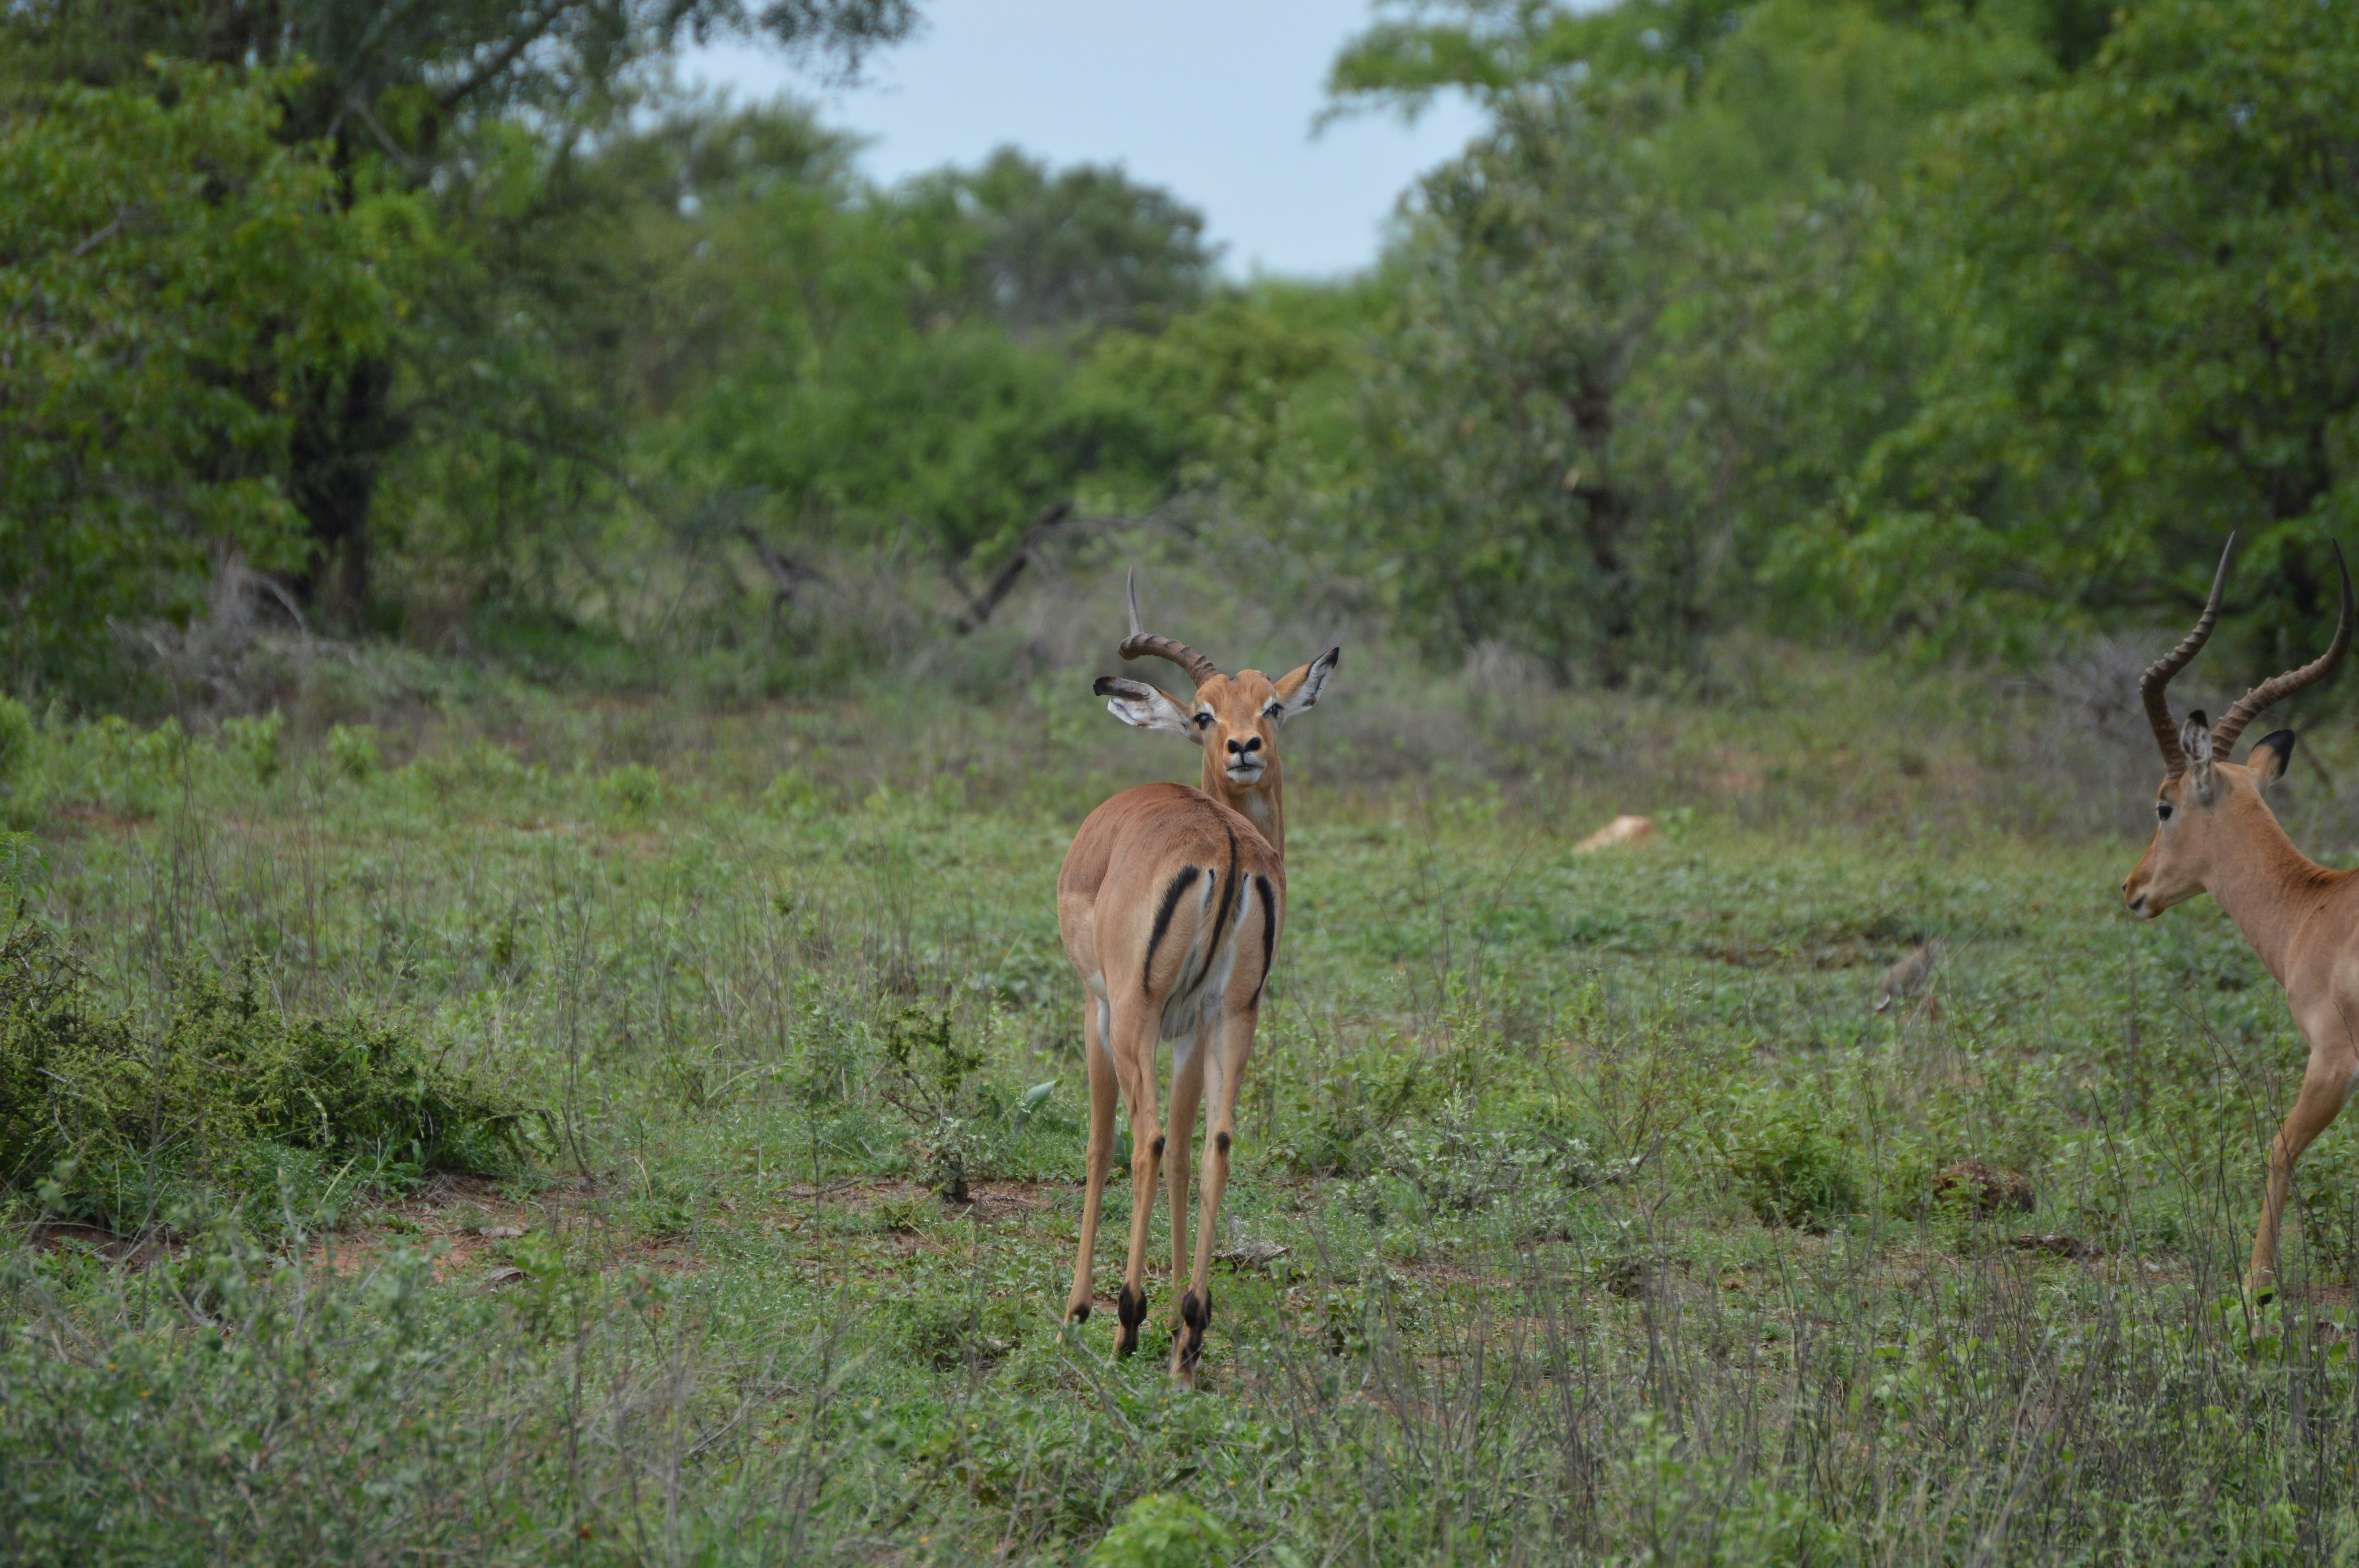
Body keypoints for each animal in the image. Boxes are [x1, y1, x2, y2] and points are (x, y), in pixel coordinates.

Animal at [1056, 575, 1338, 1381]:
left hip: (1135, 1015)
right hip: (1235, 1018)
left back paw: (1126, 1321)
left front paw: (1077, 1311)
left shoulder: (1099, 1011)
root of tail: (1224, 848)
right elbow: (1188, 1149)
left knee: (1144, 1138)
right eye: (1207, 712)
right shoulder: (1194, 1027)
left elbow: (1101, 1142)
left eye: (1271, 706)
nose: (1245, 748)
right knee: (1216, 1142)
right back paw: (1190, 1329)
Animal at [2121, 534, 2354, 1303]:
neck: (2317, 909)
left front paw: (2257, 1285)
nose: (2132, 887)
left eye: (2164, 805)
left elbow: (2277, 1148)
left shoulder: (2333, 1060)